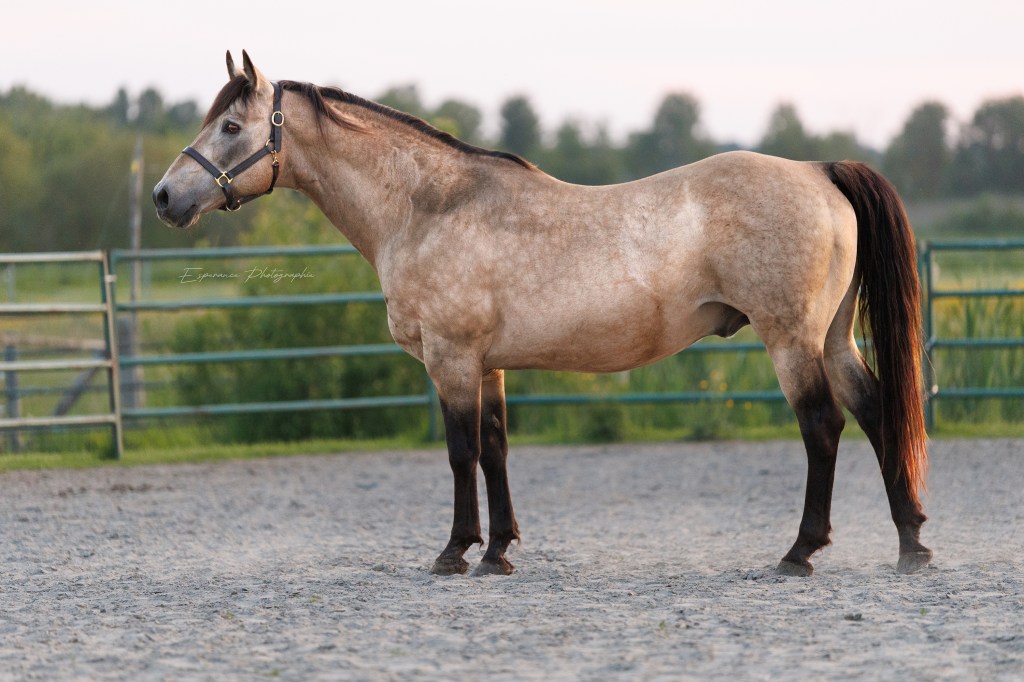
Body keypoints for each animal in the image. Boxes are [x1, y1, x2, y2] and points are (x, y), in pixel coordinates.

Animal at [154, 51, 932, 577]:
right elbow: (496, 448)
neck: (429, 207)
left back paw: (801, 551)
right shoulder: (487, 365)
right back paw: (911, 542)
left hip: (791, 338)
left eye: (231, 126)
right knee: (877, 410)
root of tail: (817, 171)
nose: (165, 197)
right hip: (830, 337)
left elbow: (460, 451)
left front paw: (455, 551)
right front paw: (499, 551)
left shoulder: (451, 359)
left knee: (823, 426)